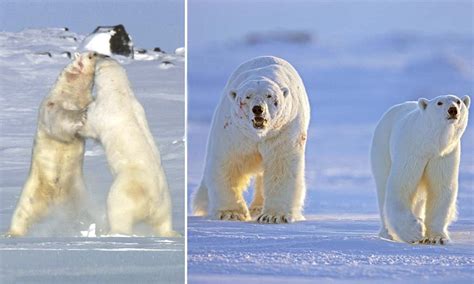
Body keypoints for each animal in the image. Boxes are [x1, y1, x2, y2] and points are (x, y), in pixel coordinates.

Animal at [6, 51, 100, 237]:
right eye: (90, 56)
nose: (98, 54)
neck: (73, 91)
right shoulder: (53, 103)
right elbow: (59, 118)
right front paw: (81, 115)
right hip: (32, 194)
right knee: (21, 216)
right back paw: (12, 233)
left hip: (77, 193)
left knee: (84, 213)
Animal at [78, 57, 179, 237]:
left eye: (99, 61)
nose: (99, 56)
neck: (120, 91)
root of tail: (153, 203)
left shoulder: (105, 110)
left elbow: (91, 125)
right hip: (166, 204)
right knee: (163, 222)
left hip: (126, 188)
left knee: (118, 210)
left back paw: (112, 232)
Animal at [193, 56, 312, 224]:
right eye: (247, 97)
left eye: (269, 96)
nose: (258, 109)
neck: (258, 134)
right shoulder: (234, 133)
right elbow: (229, 163)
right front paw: (230, 213)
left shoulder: (283, 131)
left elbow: (281, 166)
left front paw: (274, 216)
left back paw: (257, 208)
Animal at [372, 94, 472, 243]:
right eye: (439, 103)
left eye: (458, 101)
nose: (452, 110)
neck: (431, 143)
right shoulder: (413, 151)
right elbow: (401, 186)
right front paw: (414, 231)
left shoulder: (444, 155)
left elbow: (441, 189)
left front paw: (438, 238)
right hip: (382, 148)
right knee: (383, 185)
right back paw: (387, 234)